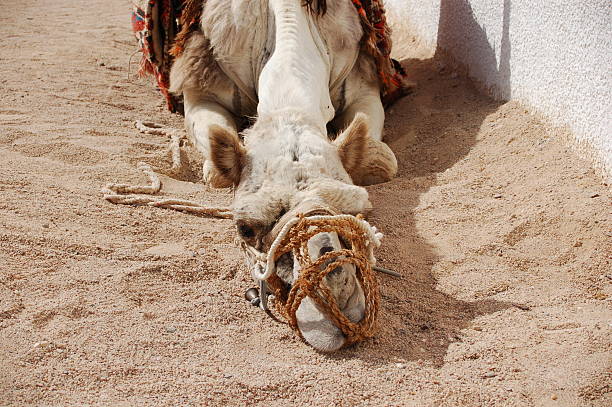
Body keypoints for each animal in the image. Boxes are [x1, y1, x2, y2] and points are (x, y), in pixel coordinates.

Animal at [170, 0, 404, 350]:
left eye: (360, 212)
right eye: (244, 229)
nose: (339, 299)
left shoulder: (362, 78)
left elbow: (383, 159)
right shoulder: (201, 82)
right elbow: (213, 173)